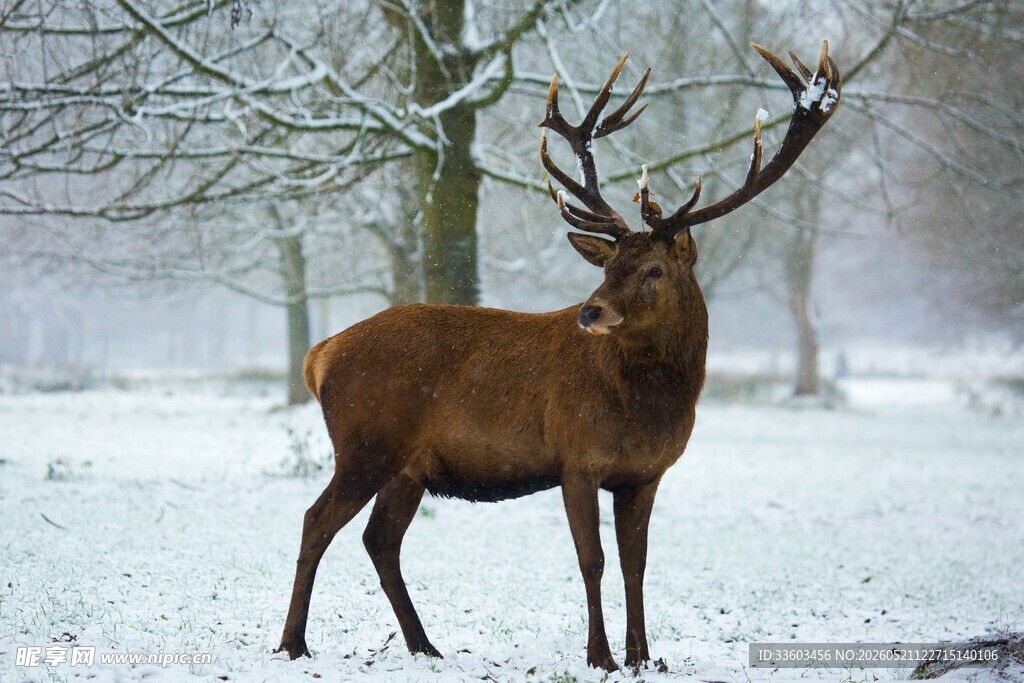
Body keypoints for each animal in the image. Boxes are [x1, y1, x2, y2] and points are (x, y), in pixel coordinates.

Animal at [277, 41, 841, 672]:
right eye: (608, 265)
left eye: (653, 269)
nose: (590, 312)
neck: (648, 407)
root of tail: (319, 356)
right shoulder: (577, 457)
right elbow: (592, 561)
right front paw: (601, 657)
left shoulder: (645, 475)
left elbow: (637, 565)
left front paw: (643, 657)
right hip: (365, 443)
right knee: (316, 521)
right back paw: (294, 643)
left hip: (408, 466)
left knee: (379, 539)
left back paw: (426, 646)